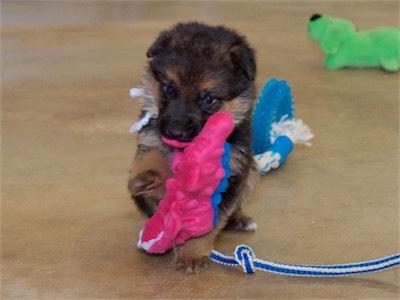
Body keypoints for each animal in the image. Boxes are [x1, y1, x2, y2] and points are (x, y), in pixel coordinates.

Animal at [129, 21, 260, 274]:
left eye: (208, 99)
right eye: (168, 88)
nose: (174, 132)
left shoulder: (230, 178)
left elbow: (207, 223)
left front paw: (192, 253)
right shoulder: (151, 139)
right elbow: (151, 158)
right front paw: (147, 178)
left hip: (251, 170)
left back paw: (239, 219)